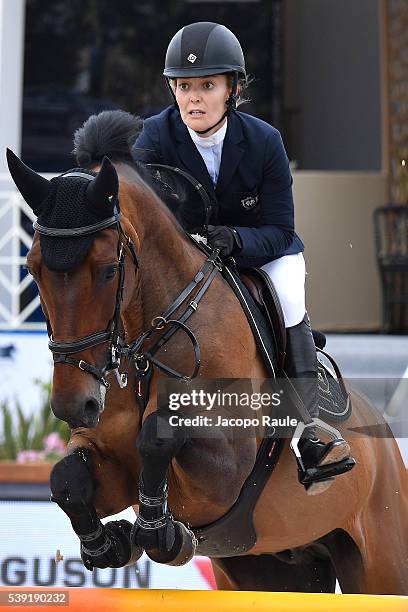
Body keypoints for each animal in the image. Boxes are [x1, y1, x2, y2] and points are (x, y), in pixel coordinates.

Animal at [5, 112, 408, 596]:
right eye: (32, 269)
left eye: (106, 271)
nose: (73, 405)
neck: (148, 347)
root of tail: (386, 440)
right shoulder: (107, 456)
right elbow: (65, 477)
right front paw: (110, 544)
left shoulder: (225, 476)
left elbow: (159, 434)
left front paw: (159, 533)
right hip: (275, 568)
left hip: (381, 561)